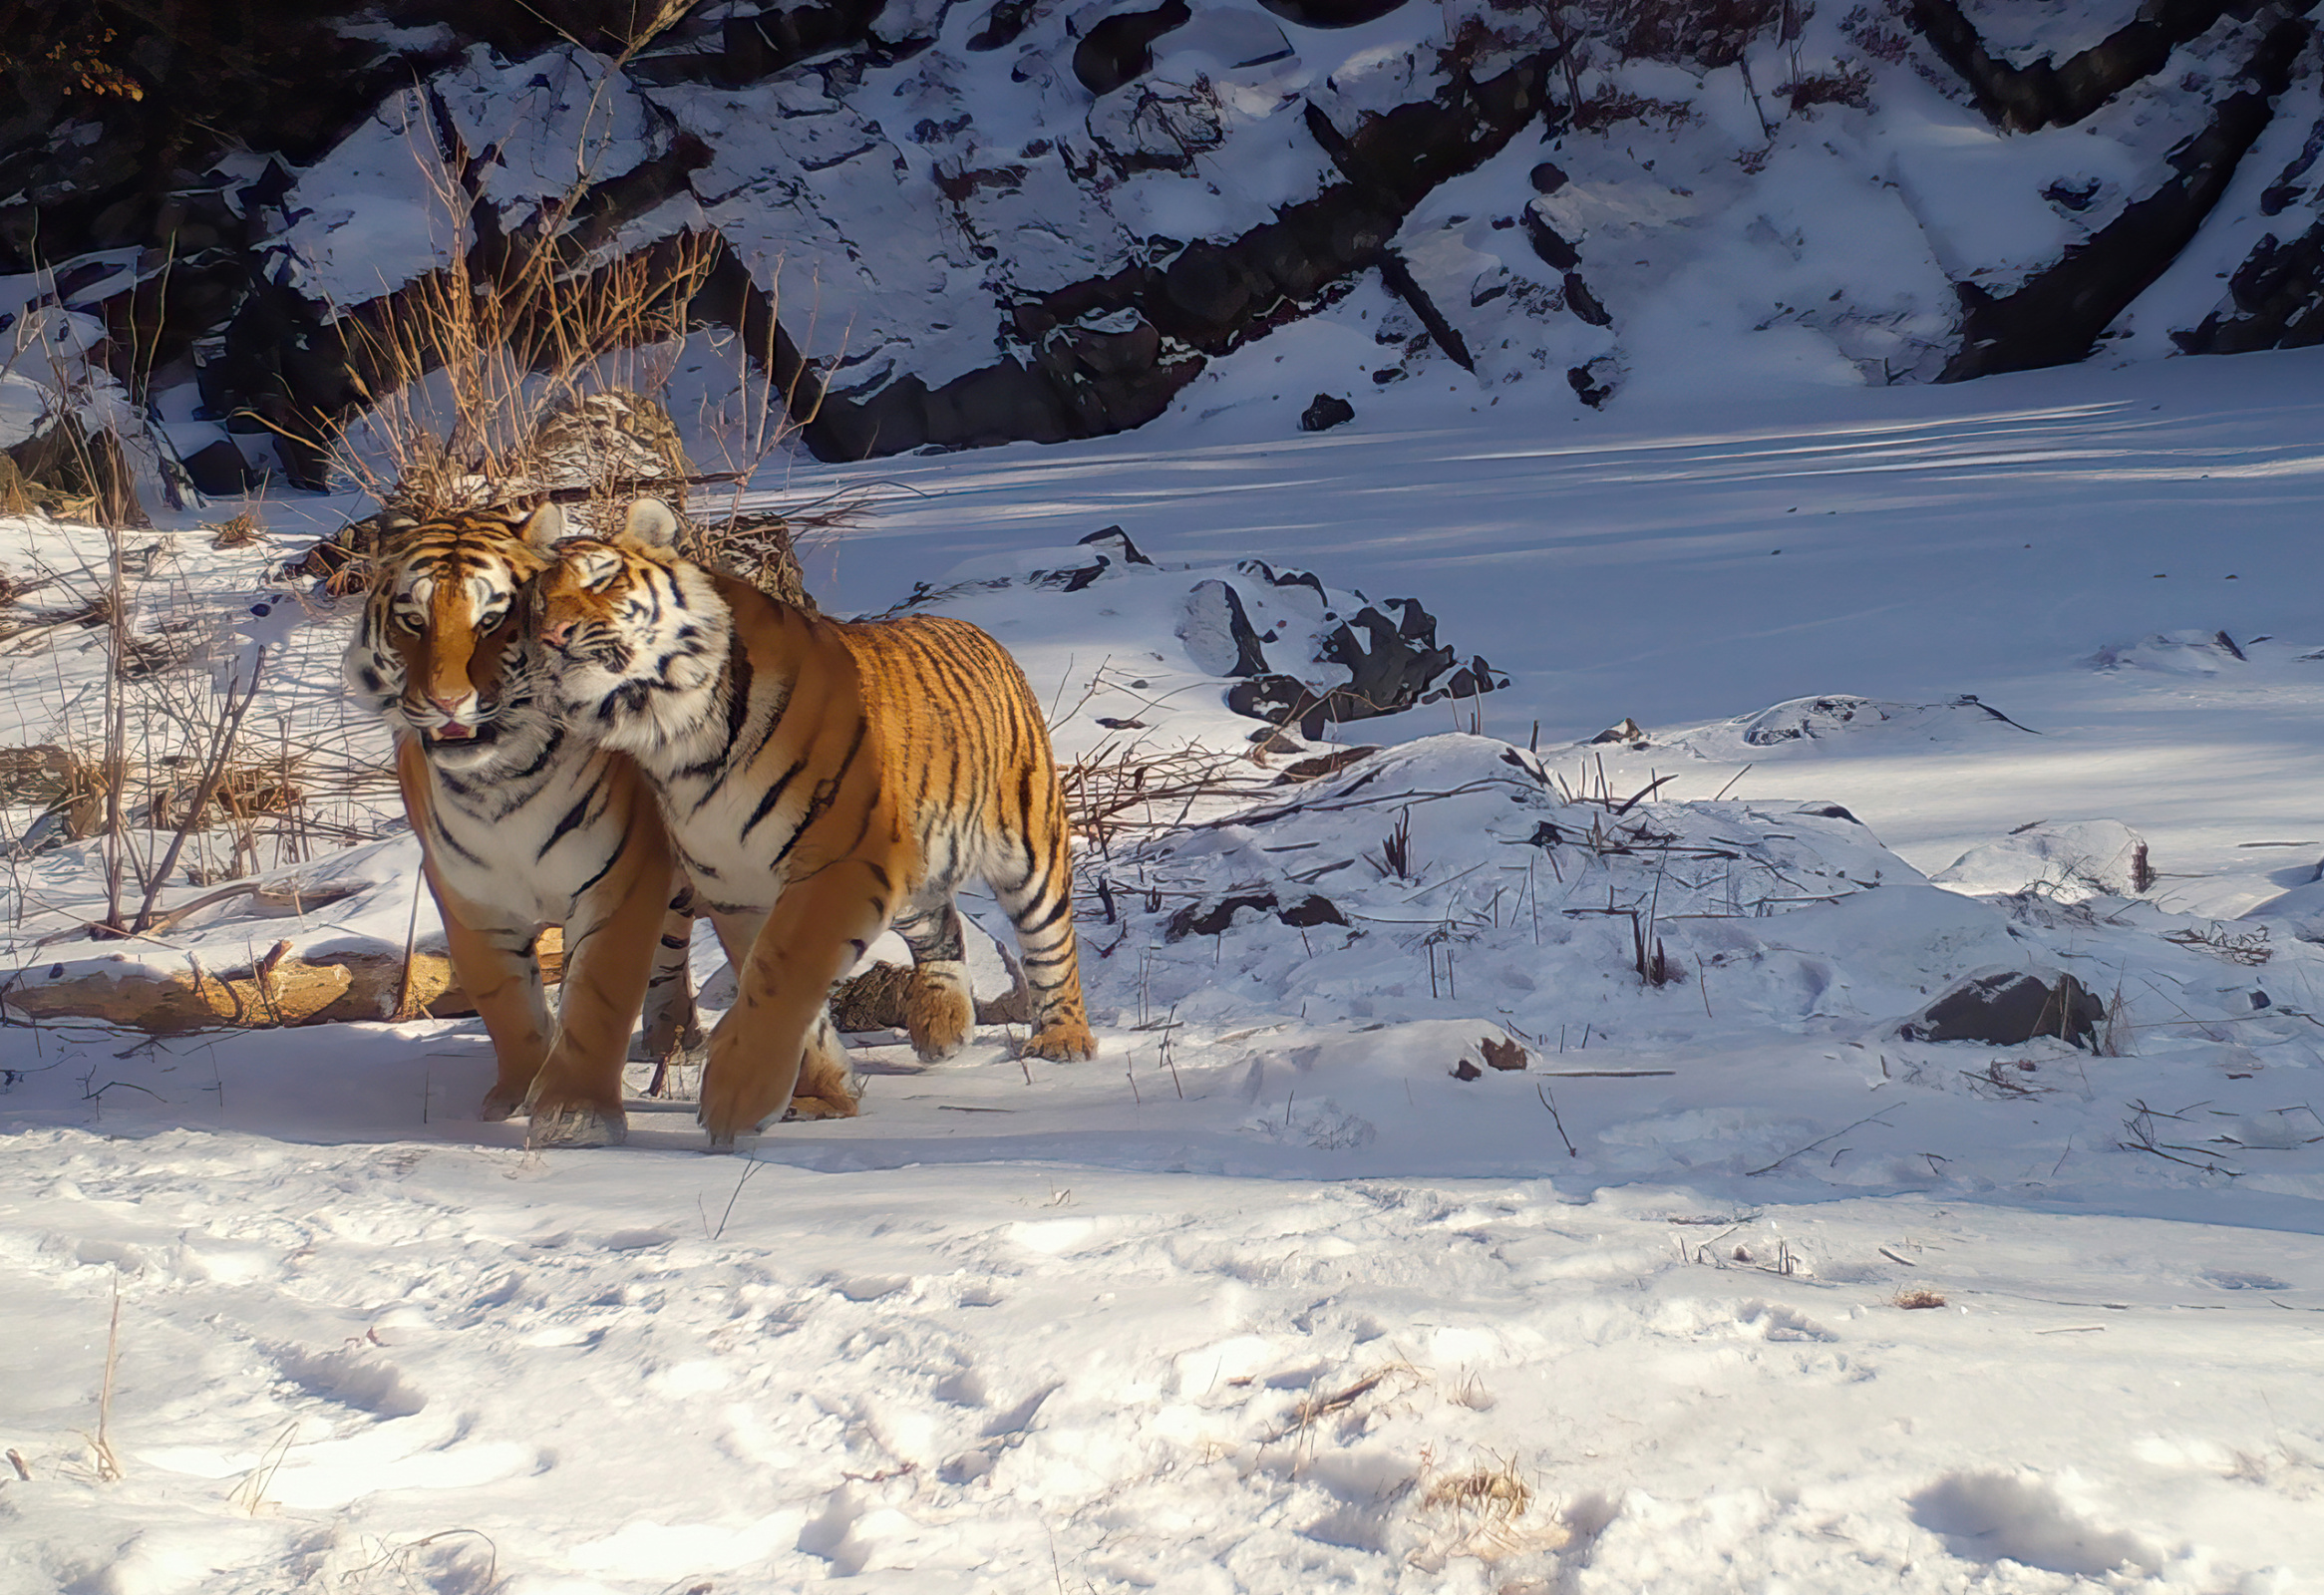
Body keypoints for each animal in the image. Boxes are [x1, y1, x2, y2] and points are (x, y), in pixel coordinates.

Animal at [336, 506, 697, 1143]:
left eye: (492, 620)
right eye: (412, 621)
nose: (447, 702)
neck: (499, 781)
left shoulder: (622, 880)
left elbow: (600, 995)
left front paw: (578, 1115)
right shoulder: (470, 898)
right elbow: (506, 1003)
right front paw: (517, 1097)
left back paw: (675, 1041)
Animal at [534, 499, 1097, 1148]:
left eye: (601, 580)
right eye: (534, 603)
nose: (550, 637)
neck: (674, 739)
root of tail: (979, 632)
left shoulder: (844, 860)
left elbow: (782, 974)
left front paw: (740, 1096)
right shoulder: (737, 887)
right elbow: (775, 988)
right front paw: (820, 1095)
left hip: (1027, 845)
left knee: (1051, 940)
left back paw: (1062, 1041)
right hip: (912, 873)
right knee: (945, 926)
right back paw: (942, 1026)